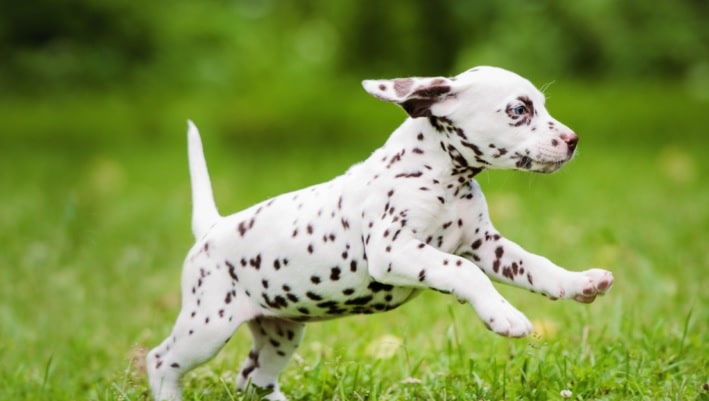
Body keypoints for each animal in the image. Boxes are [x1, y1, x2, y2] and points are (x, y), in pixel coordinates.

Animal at [147, 66, 612, 400]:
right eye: (519, 110)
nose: (573, 140)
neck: (442, 175)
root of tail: (213, 227)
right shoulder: (394, 251)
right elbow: (461, 270)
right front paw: (505, 315)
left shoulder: (486, 245)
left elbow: (536, 265)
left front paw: (579, 282)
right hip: (207, 326)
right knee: (160, 360)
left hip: (281, 332)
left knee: (254, 380)